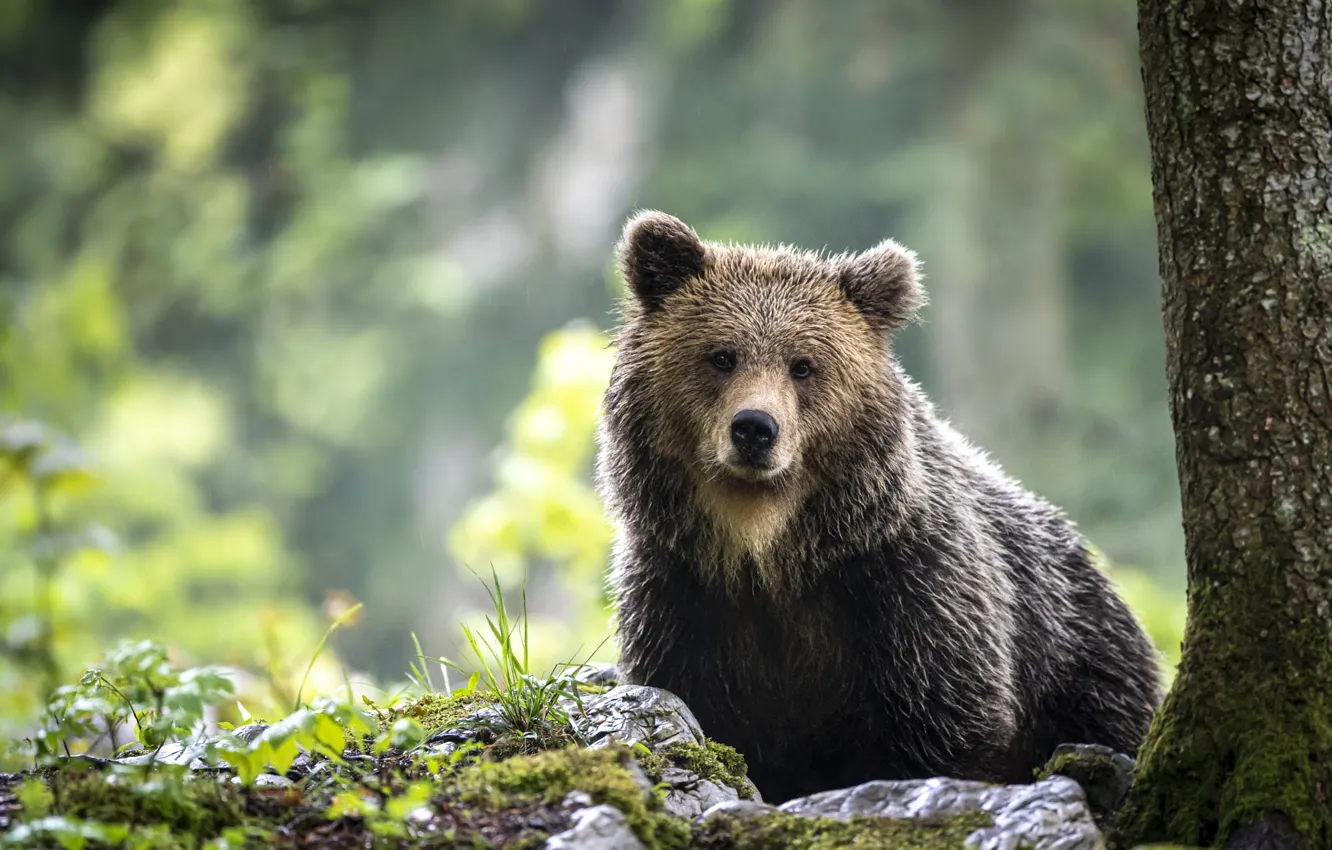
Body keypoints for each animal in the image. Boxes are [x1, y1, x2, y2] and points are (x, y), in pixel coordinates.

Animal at [594, 210, 1165, 805]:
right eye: (721, 356)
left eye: (803, 365)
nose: (754, 428)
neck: (768, 547)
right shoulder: (682, 590)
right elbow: (692, 702)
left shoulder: (909, 585)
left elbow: (946, 721)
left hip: (1083, 666)